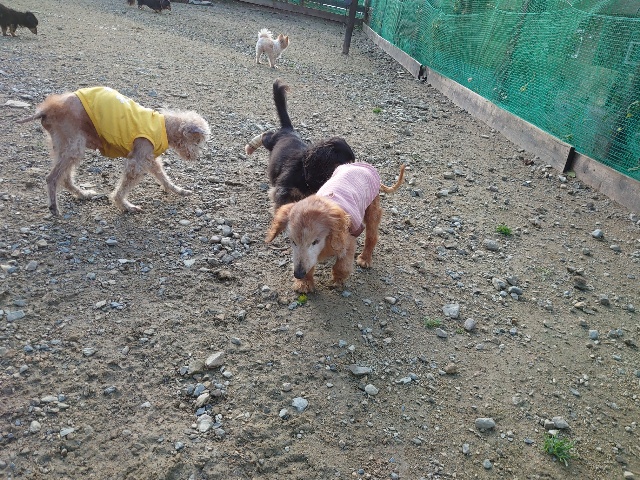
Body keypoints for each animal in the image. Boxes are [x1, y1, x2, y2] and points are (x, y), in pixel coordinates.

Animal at [18, 86, 210, 215]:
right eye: (198, 141)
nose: (197, 157)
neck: (164, 127)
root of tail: (46, 109)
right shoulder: (137, 160)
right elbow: (124, 186)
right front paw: (124, 205)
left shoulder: (149, 158)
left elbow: (163, 176)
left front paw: (178, 190)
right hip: (74, 146)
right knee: (52, 178)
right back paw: (54, 207)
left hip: (64, 146)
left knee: (64, 178)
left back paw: (83, 194)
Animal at [245, 79, 355, 211]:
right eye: (344, 165)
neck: (304, 171)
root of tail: (288, 129)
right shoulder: (283, 191)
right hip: (270, 141)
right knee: (266, 134)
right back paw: (250, 147)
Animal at [266, 162, 406, 293]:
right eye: (293, 241)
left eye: (315, 241)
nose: (298, 274)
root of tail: (362, 164)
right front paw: (304, 283)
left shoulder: (348, 240)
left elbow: (343, 265)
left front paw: (337, 280)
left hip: (372, 209)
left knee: (372, 236)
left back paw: (365, 259)